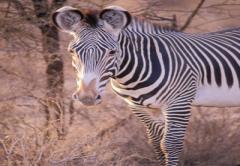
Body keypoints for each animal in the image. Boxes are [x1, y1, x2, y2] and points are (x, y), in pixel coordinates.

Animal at [52, 5, 240, 165]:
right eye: (72, 51)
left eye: (112, 52)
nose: (87, 97)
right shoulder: (138, 106)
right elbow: (156, 143)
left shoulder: (180, 102)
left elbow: (170, 144)